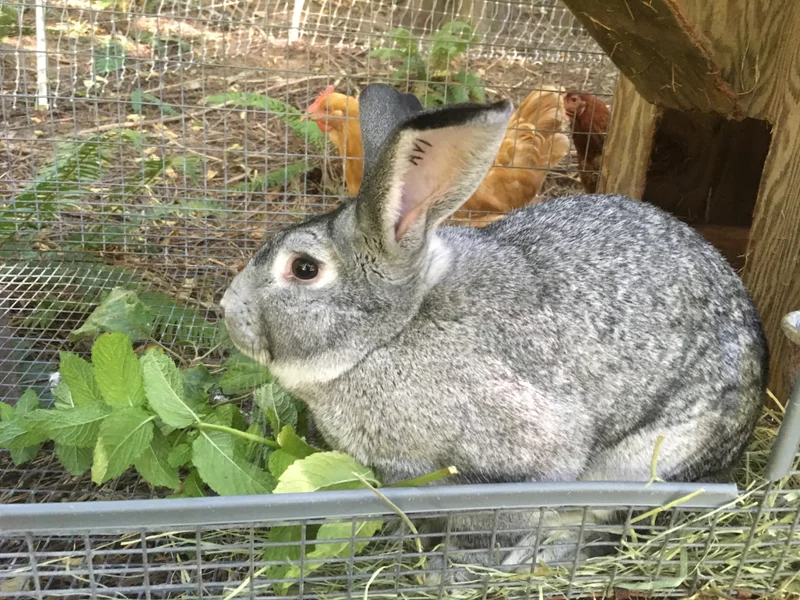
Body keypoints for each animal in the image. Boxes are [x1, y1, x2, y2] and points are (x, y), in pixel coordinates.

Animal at [221, 83, 767, 582]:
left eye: (304, 269)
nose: (227, 309)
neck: (392, 333)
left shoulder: (519, 468)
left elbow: (487, 528)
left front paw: (451, 570)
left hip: (641, 463)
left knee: (601, 522)